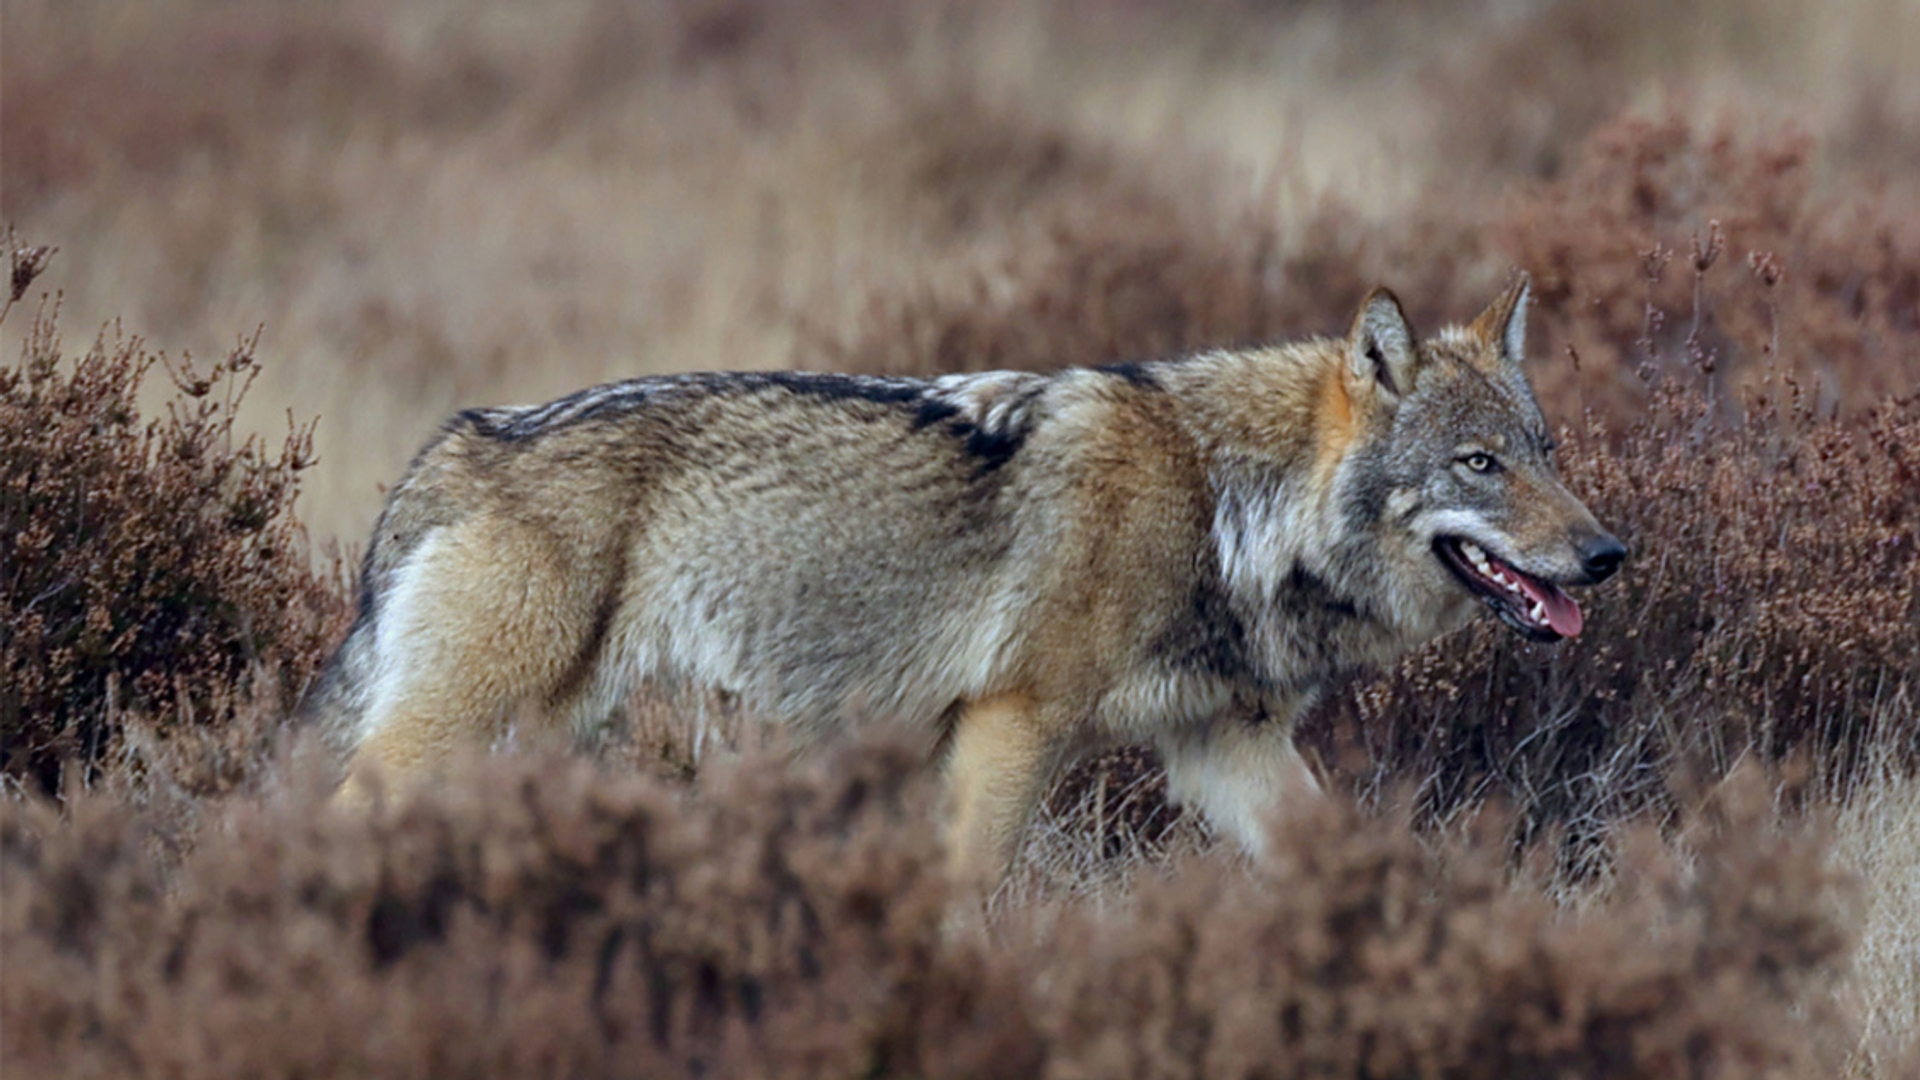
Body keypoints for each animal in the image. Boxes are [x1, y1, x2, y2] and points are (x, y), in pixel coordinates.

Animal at [299, 274, 1620, 883]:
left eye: (1547, 452)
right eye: (1480, 464)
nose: (1609, 556)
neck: (1223, 504)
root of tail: (457, 444)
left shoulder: (1224, 749)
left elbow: (1338, 852)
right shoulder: (1011, 723)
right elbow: (968, 889)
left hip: (534, 737)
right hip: (466, 729)